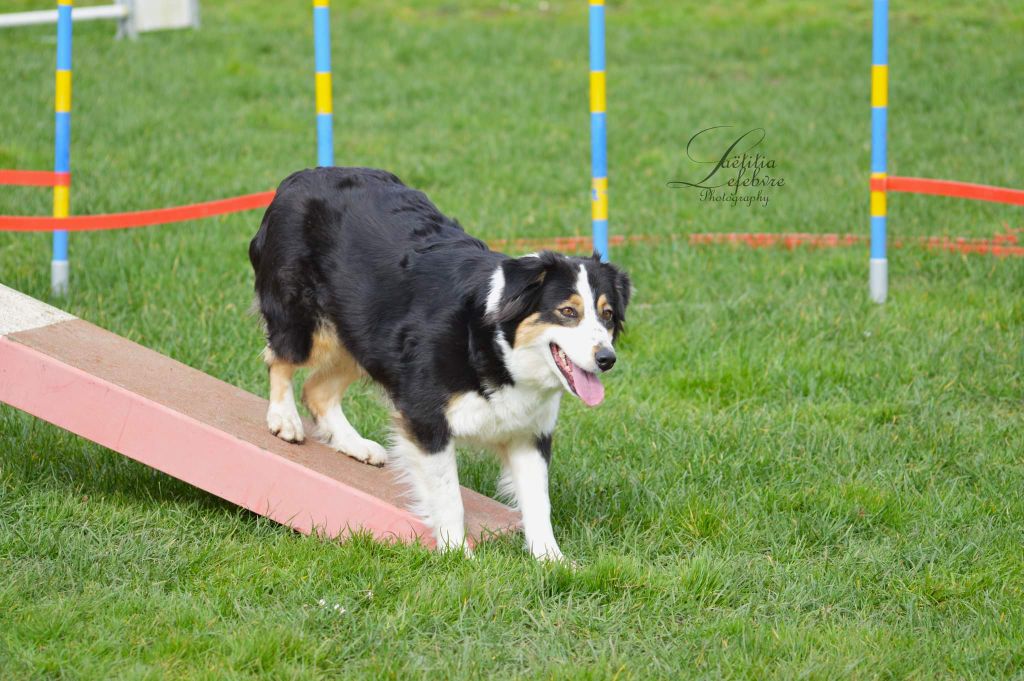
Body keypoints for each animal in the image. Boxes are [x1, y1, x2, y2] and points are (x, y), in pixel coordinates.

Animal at [250, 168, 626, 557]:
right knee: (280, 359)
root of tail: (300, 176)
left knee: (317, 389)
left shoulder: (530, 431)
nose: (607, 359)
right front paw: (458, 554)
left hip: (363, 335)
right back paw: (284, 419)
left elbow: (538, 503)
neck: (493, 344)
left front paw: (552, 560)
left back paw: (355, 445)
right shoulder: (426, 417)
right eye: (568, 312)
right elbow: (449, 496)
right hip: (305, 322)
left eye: (607, 315)